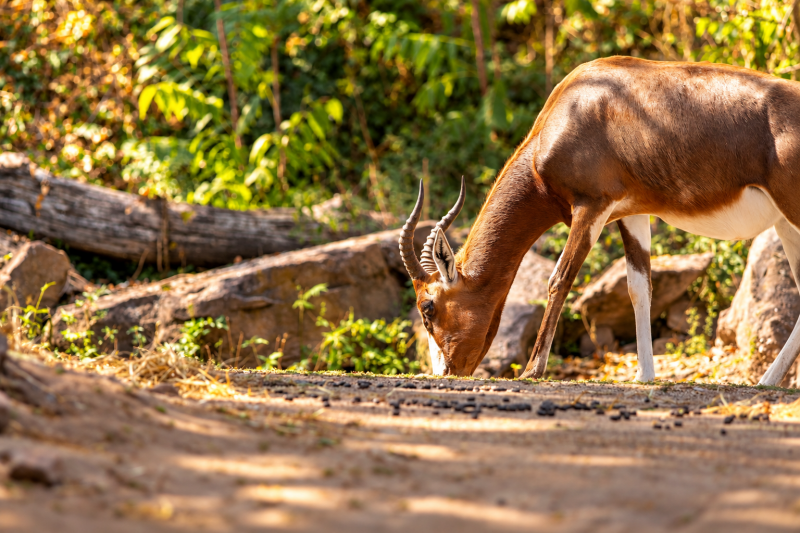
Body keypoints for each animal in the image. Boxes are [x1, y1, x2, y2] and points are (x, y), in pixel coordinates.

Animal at [399, 56, 800, 386]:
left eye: (428, 308)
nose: (449, 371)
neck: (574, 106)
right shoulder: (632, 213)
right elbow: (639, 287)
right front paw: (645, 376)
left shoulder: (591, 206)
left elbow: (559, 279)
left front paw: (532, 371)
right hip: (785, 224)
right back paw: (767, 380)